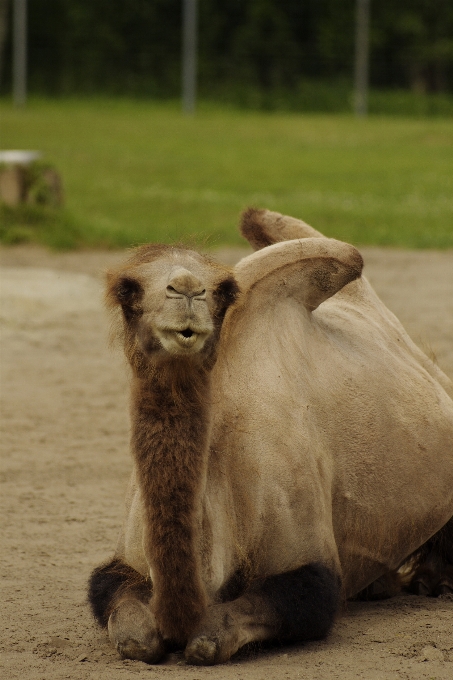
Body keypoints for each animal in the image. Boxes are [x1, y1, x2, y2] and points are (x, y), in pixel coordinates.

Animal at [88, 207, 452, 664]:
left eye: (224, 290)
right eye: (127, 289)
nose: (187, 290)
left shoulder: (306, 554)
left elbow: (227, 628)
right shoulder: (124, 560)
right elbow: (132, 629)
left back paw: (432, 583)